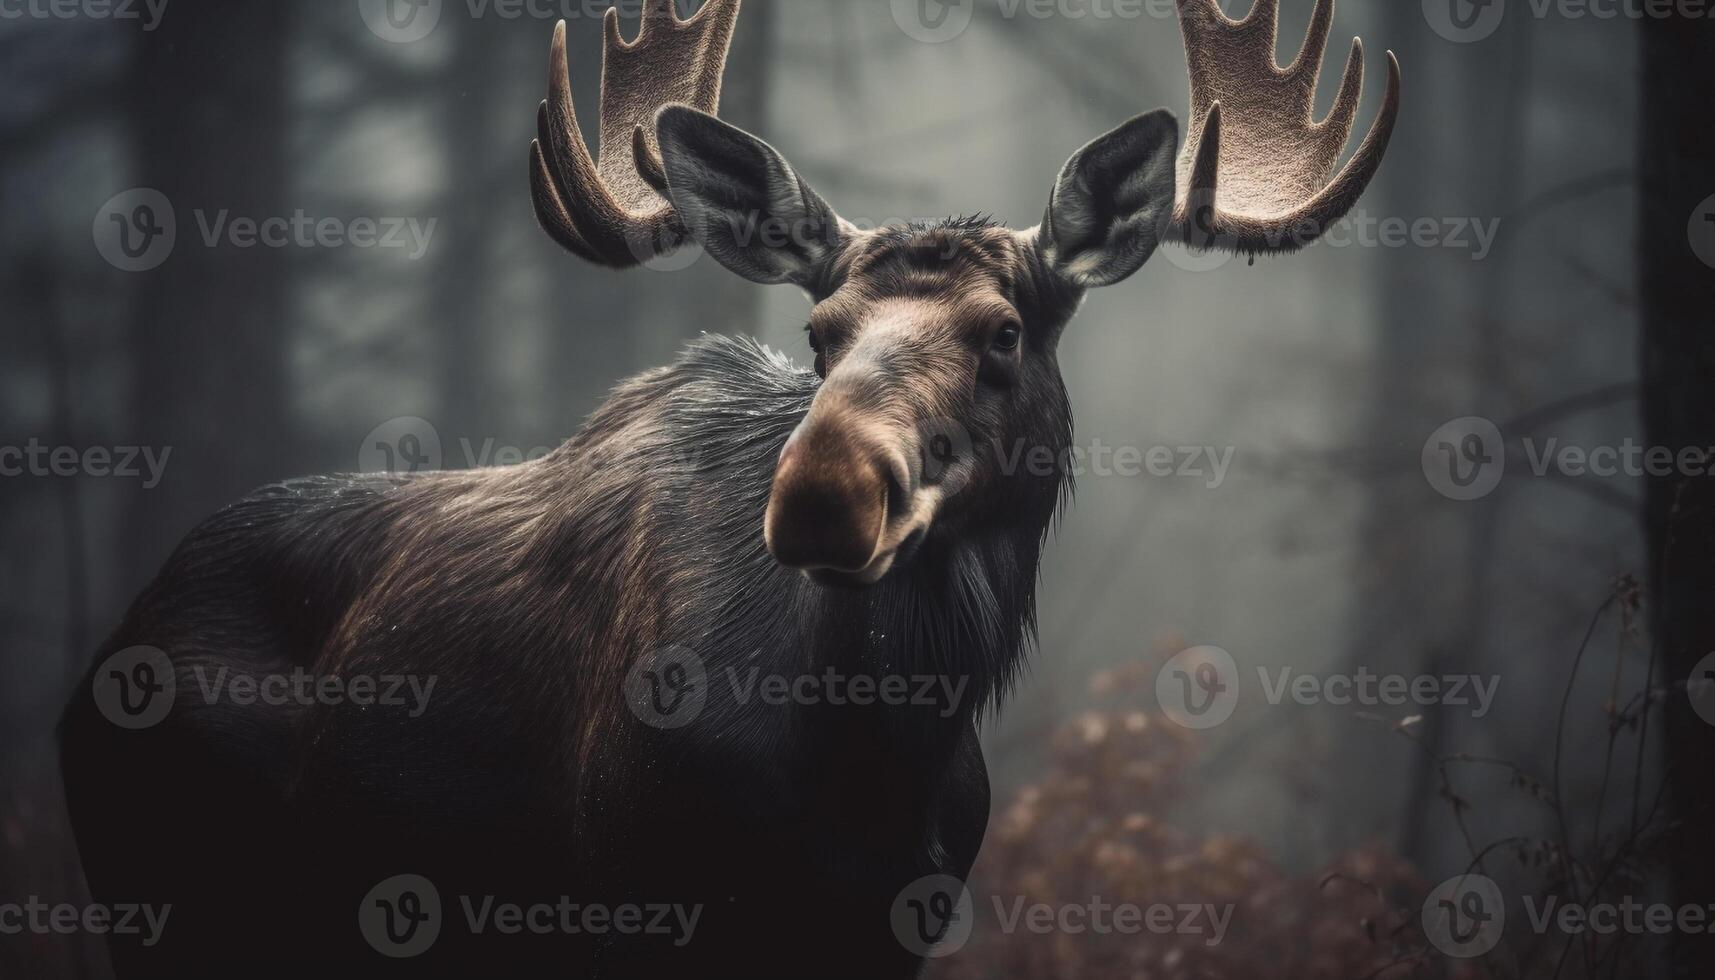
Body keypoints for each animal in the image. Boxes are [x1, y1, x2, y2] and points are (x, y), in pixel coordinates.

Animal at [60, 3, 1399, 974]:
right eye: (816, 331)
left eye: (1004, 331)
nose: (822, 493)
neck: (875, 744)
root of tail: (117, 639)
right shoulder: (633, 896)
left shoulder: (893, 923)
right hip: (162, 896)